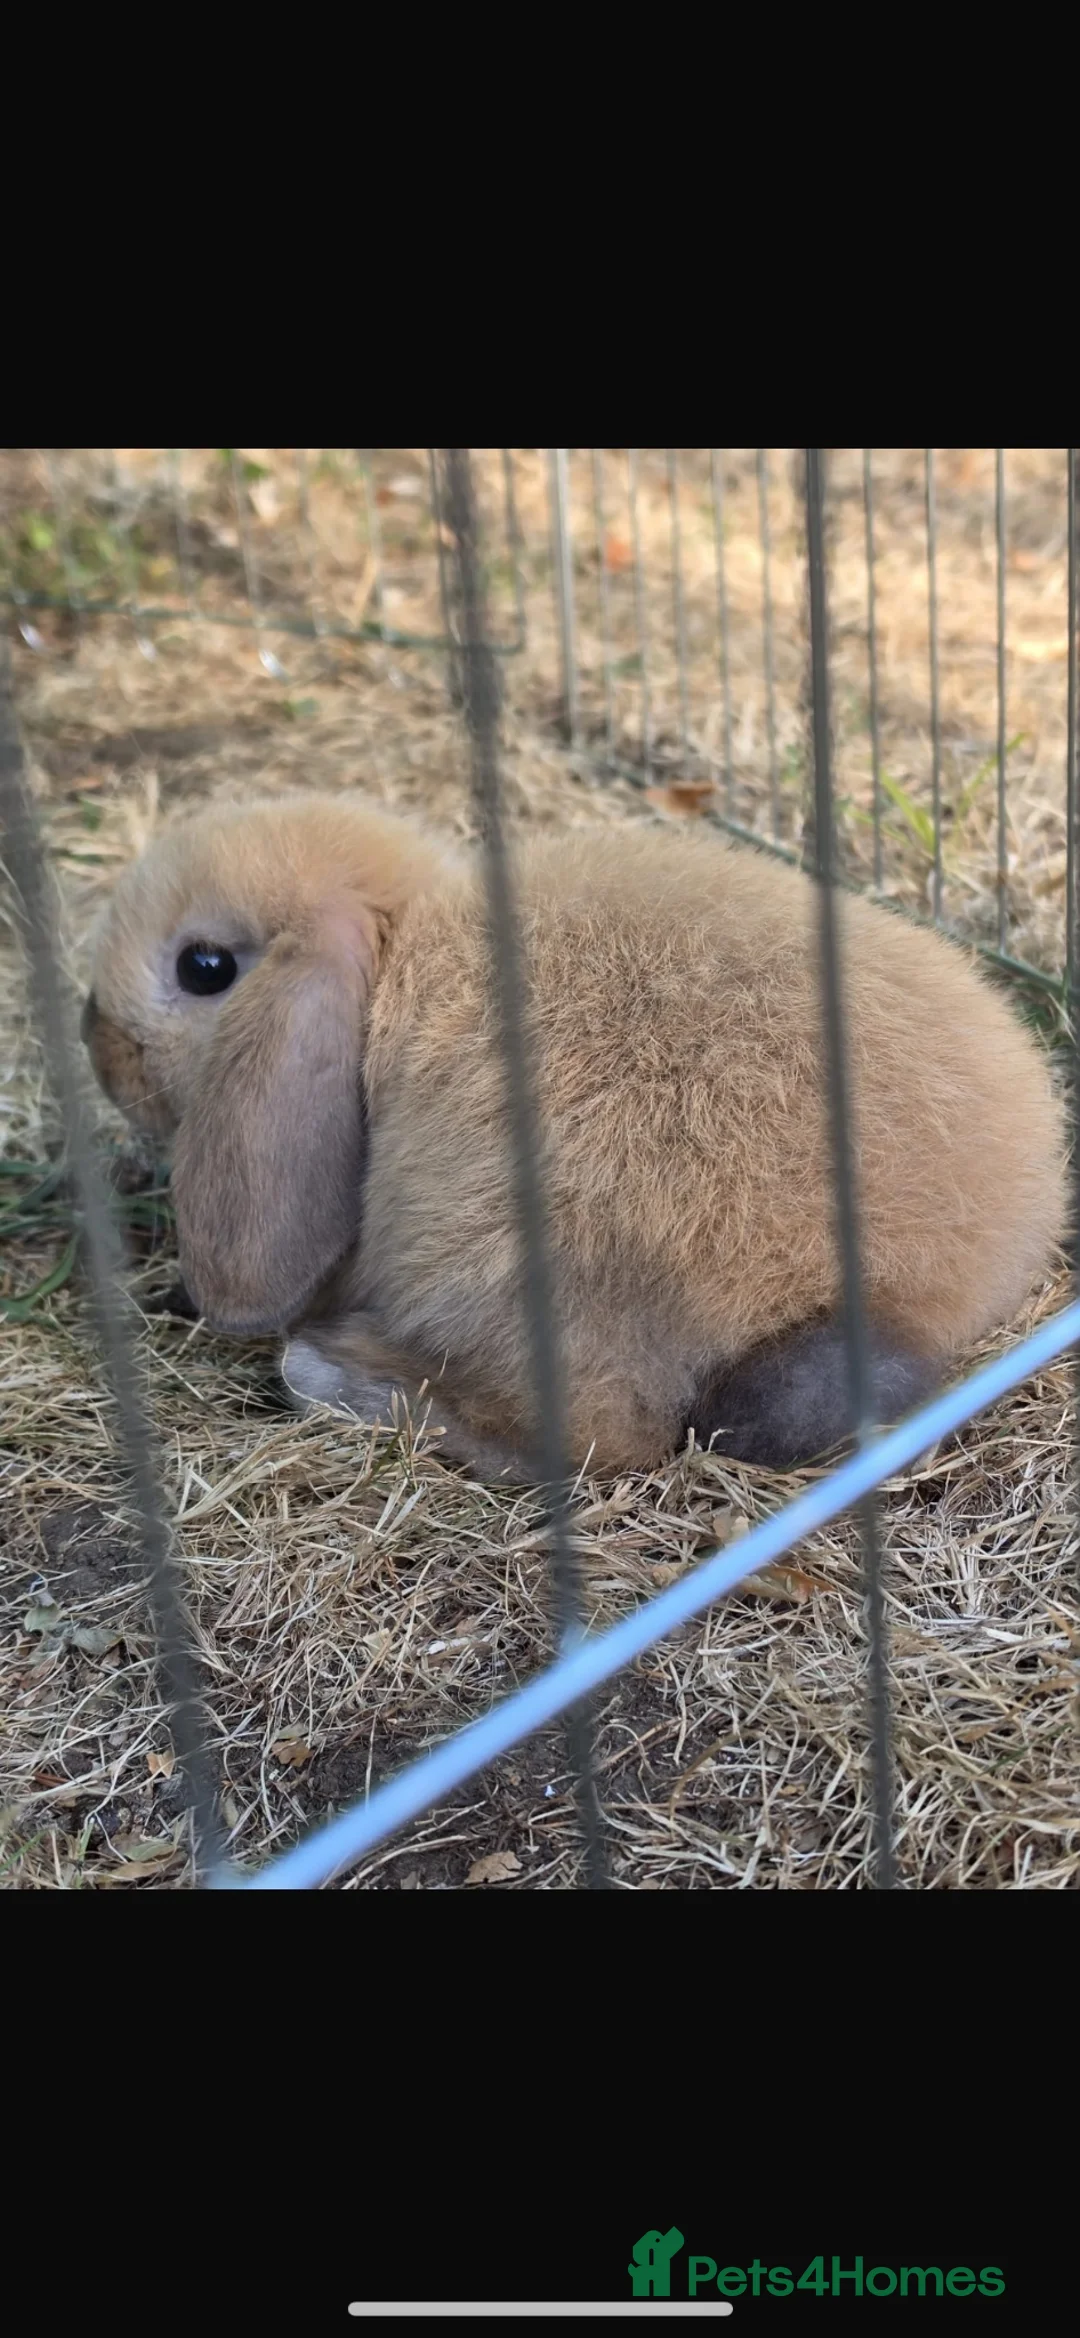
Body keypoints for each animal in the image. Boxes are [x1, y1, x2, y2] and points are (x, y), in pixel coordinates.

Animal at [81, 789, 1066, 1482]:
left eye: (205, 967)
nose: (97, 1048)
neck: (396, 959)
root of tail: (919, 1291)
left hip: (517, 1254)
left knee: (601, 1436)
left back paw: (340, 1376)